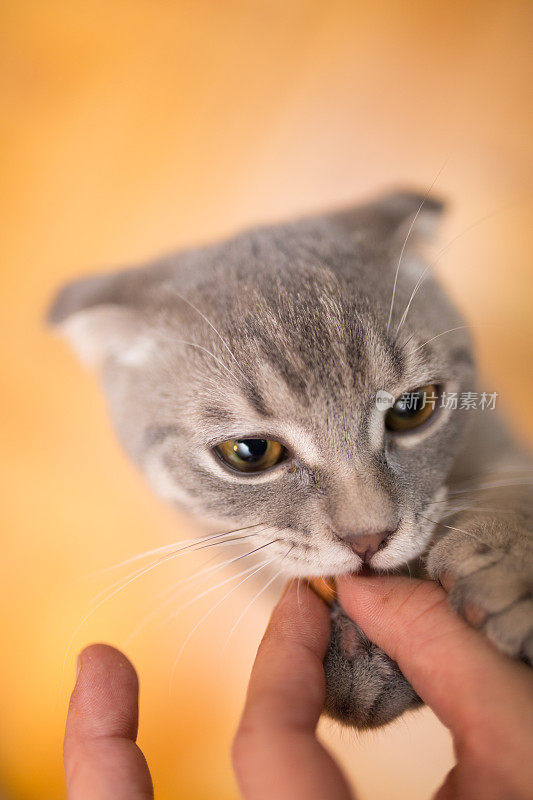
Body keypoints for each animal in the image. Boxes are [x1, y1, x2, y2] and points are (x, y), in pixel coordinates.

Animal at [48, 191, 532, 728]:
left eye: (412, 408)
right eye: (250, 452)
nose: (368, 538)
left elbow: (516, 483)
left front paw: (507, 559)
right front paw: (356, 658)